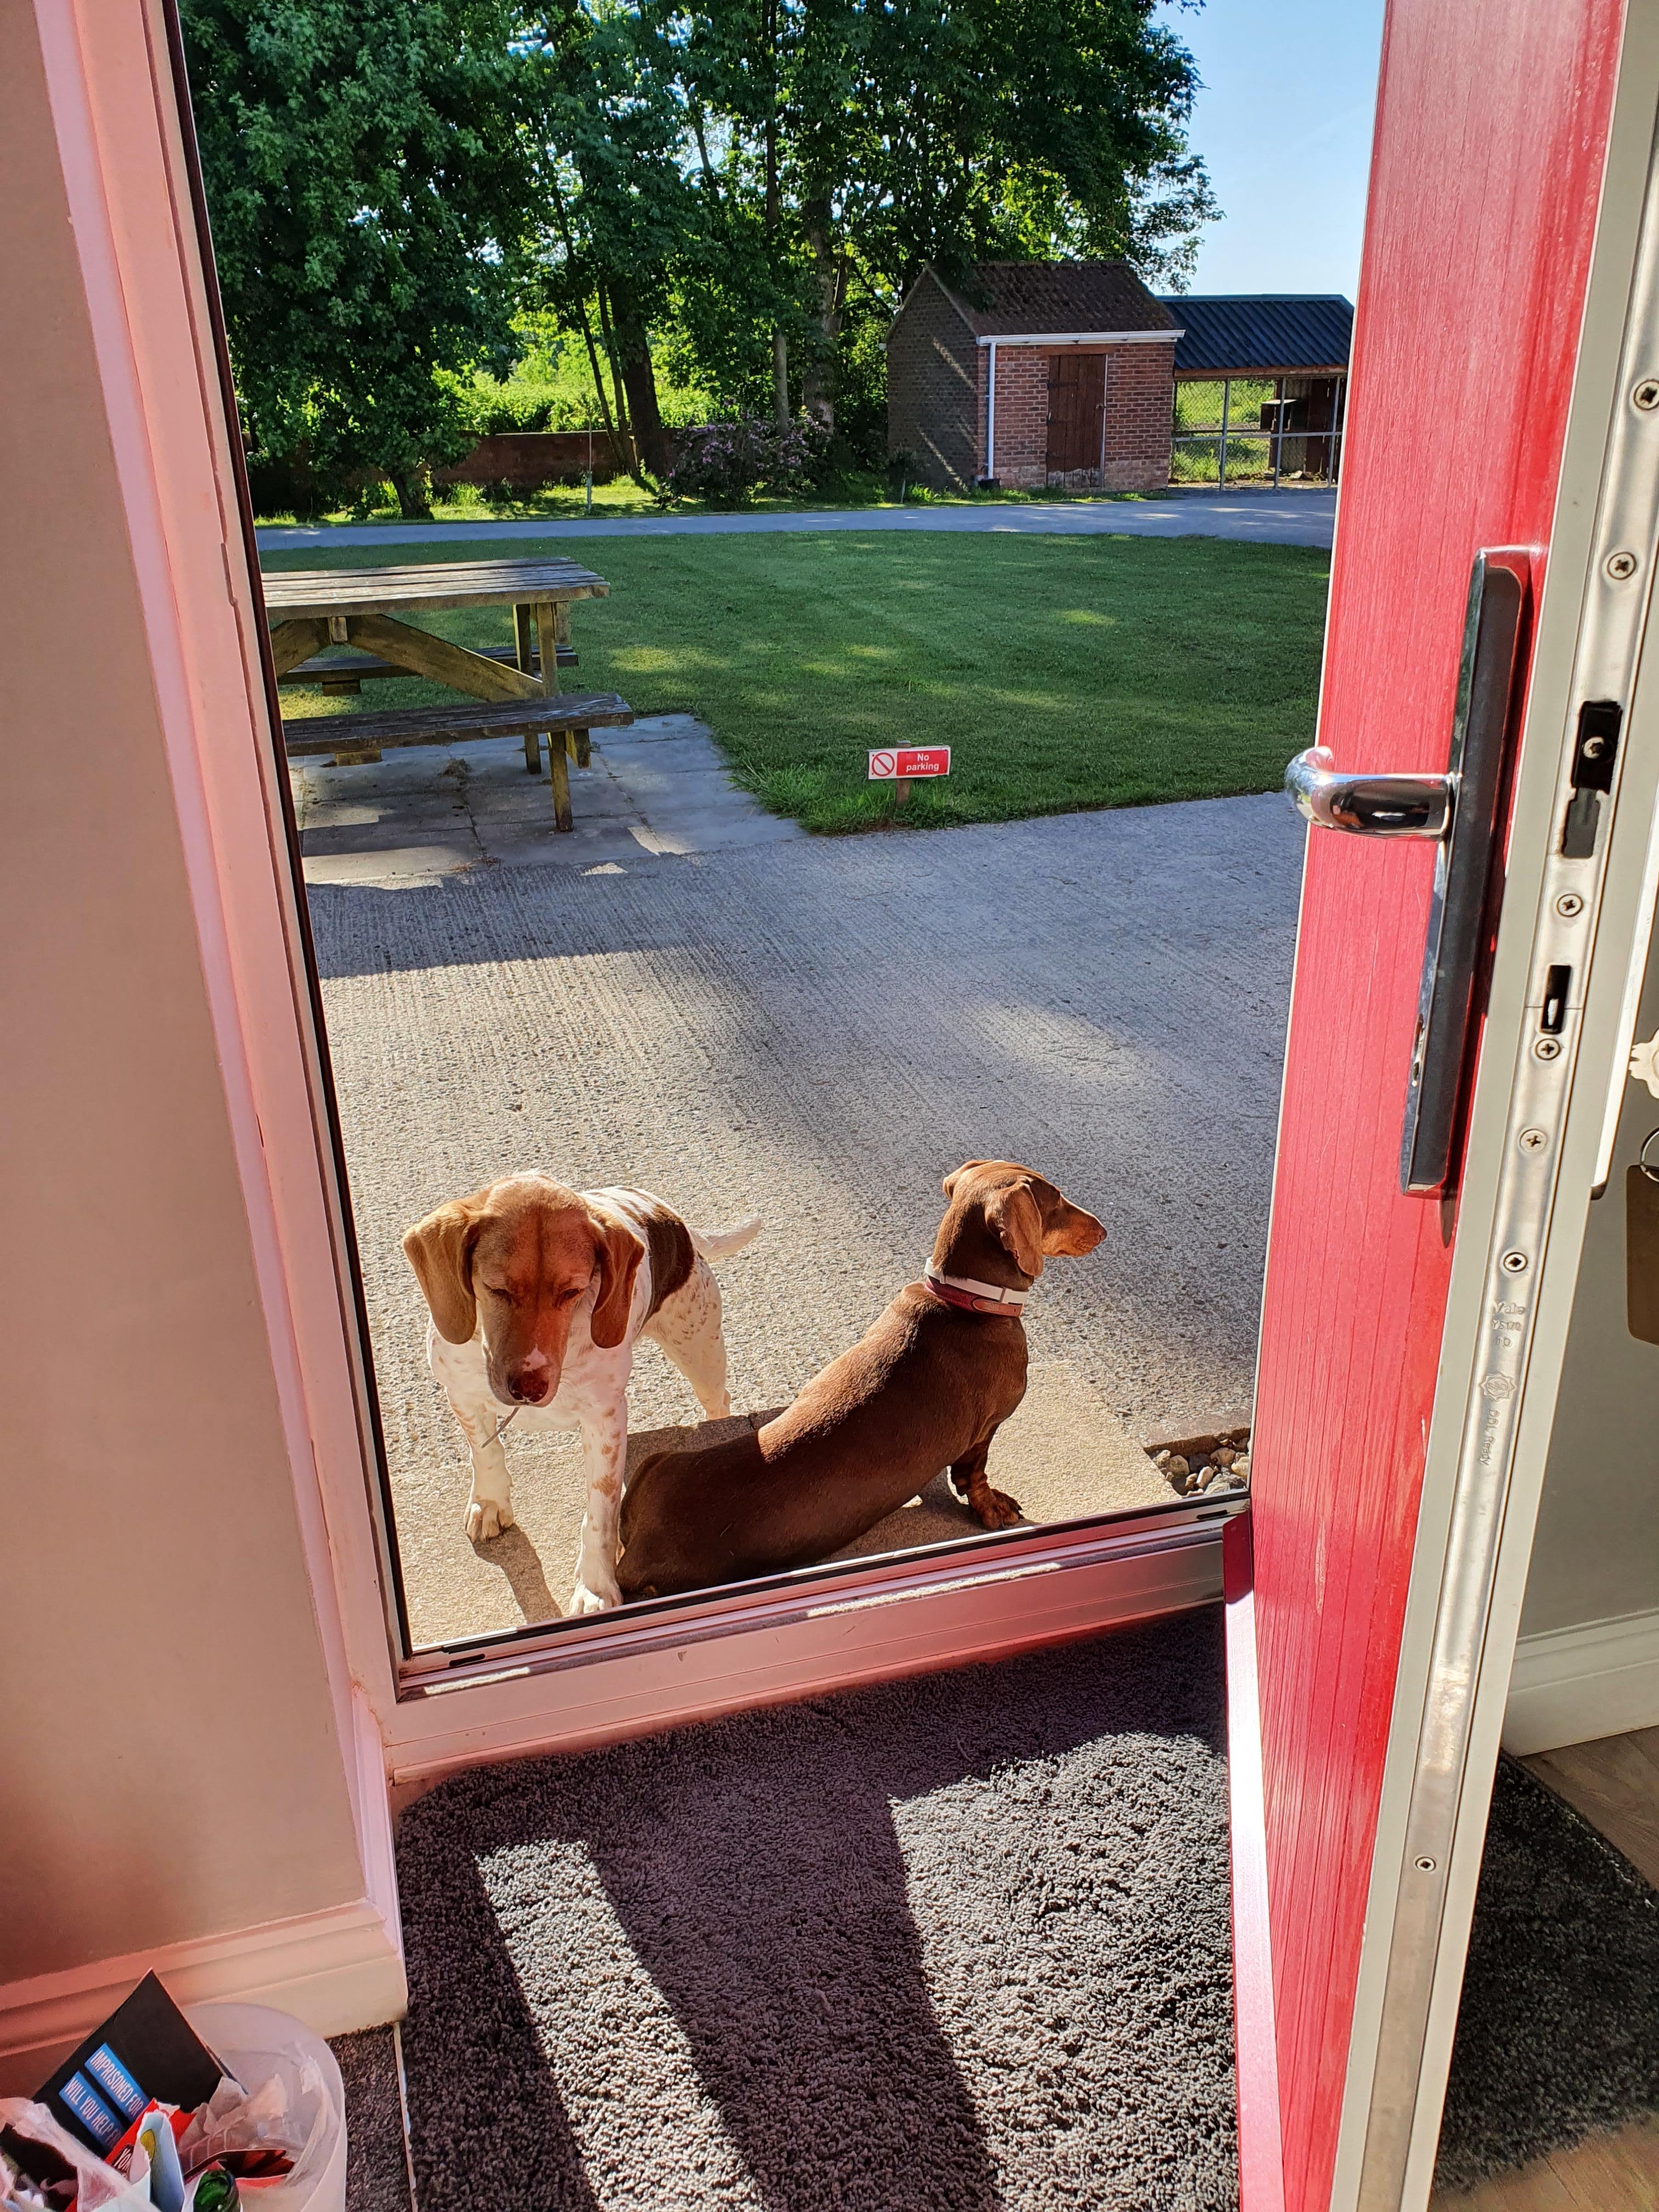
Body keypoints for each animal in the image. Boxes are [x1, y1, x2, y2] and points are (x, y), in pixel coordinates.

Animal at [402, 1177, 765, 1610]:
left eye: (572, 1291)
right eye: (497, 1289)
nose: (529, 1388)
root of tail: (677, 1223)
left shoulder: (604, 1421)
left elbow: (600, 1513)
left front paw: (595, 1586)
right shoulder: (462, 1393)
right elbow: (486, 1453)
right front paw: (490, 1501)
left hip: (701, 1352)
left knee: (719, 1402)